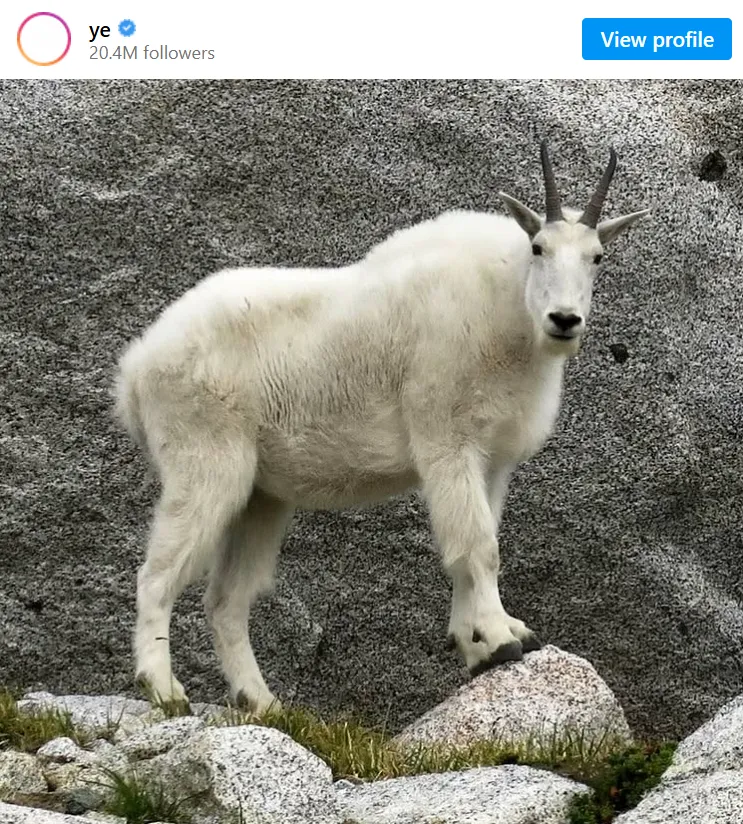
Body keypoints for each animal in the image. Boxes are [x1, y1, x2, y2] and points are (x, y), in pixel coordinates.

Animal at [113, 141, 650, 713]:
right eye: (539, 248)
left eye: (597, 257)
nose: (564, 320)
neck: (510, 313)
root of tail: (136, 368)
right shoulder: (445, 439)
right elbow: (479, 544)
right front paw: (503, 637)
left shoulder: (490, 459)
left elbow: (475, 545)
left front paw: (480, 645)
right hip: (205, 461)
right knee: (157, 576)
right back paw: (164, 689)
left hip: (261, 496)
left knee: (226, 600)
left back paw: (262, 701)